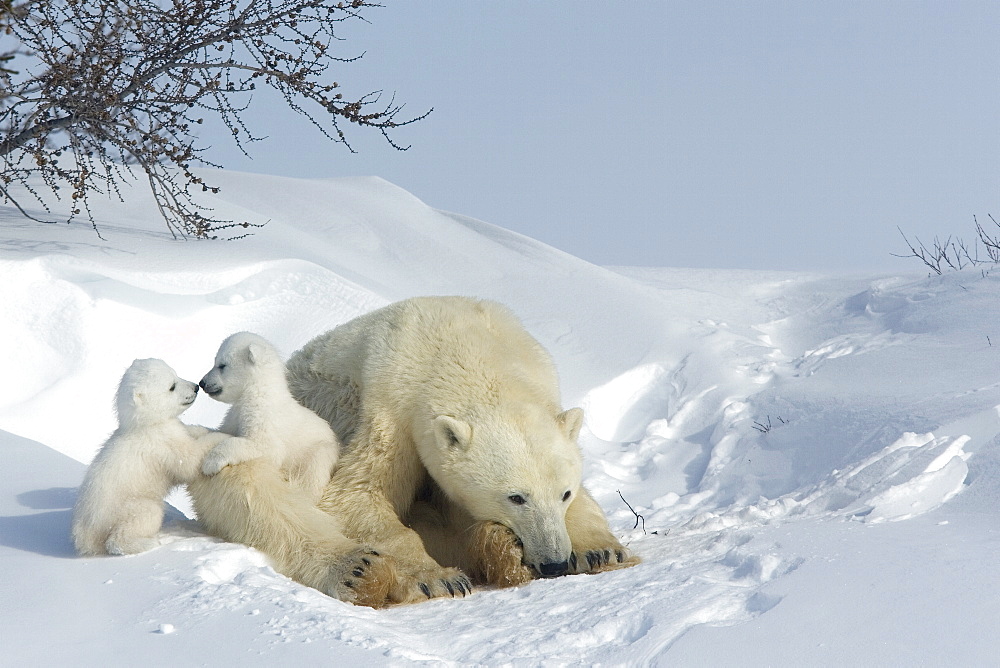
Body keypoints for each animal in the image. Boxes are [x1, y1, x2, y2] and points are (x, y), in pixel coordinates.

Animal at [191, 298, 636, 604]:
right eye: (516, 497)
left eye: (564, 493)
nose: (554, 562)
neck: (465, 348)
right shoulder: (393, 404)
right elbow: (357, 491)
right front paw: (439, 578)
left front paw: (600, 550)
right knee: (253, 487)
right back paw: (359, 569)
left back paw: (499, 549)